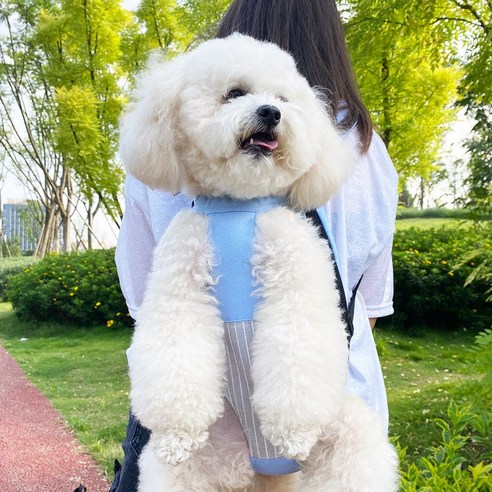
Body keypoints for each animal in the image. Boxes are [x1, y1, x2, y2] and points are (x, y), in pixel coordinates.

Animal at [120, 32, 400, 490]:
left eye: (283, 99)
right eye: (235, 93)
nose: (271, 112)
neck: (238, 207)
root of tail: (260, 466)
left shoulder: (294, 273)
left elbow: (296, 343)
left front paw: (293, 430)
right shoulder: (179, 282)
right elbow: (176, 344)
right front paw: (178, 428)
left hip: (349, 438)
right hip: (191, 465)